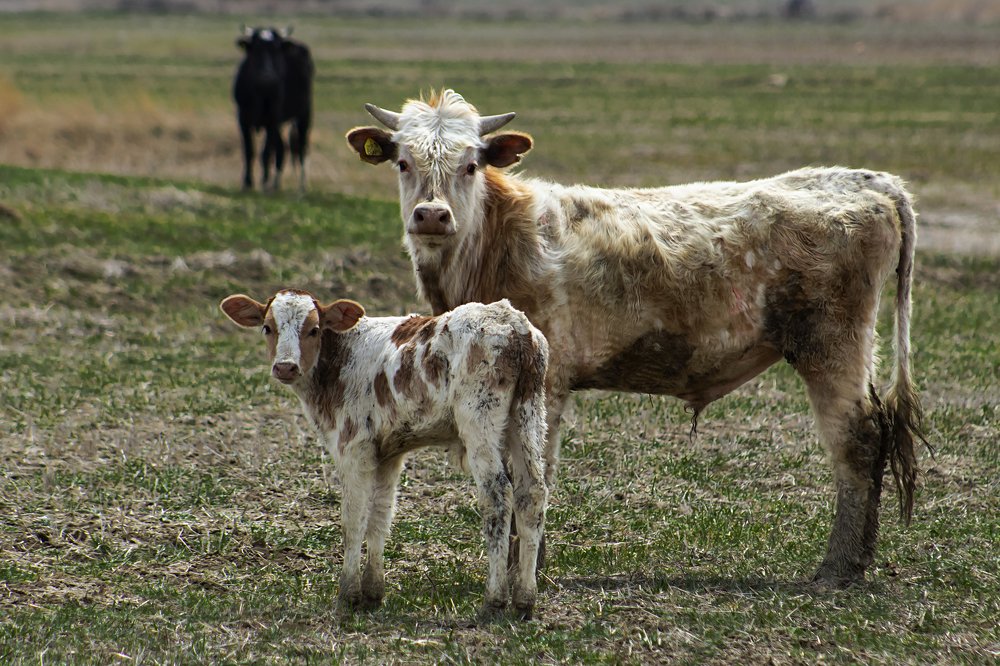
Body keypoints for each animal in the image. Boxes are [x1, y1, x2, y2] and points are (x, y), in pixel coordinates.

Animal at [220, 289, 549, 619]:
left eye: (313, 330)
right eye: (267, 327)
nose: (286, 367)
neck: (341, 358)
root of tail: (512, 323)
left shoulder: (353, 446)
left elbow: (353, 520)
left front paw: (348, 593)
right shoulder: (388, 453)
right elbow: (380, 514)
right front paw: (373, 591)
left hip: (479, 417)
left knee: (497, 495)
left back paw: (494, 599)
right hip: (527, 415)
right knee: (531, 493)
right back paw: (525, 598)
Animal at [233, 26, 313, 192]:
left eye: (276, 49)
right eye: (256, 48)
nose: (267, 76)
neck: (262, 93)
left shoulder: (272, 121)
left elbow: (265, 153)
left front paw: (264, 181)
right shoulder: (243, 119)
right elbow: (249, 151)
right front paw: (248, 183)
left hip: (304, 114)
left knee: (301, 148)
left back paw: (301, 185)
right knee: (282, 150)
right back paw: (276, 184)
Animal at [345, 89, 927, 588]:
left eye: (471, 164)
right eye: (403, 163)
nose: (432, 214)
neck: (498, 242)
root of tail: (865, 180)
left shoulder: (546, 383)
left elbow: (532, 471)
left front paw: (523, 568)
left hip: (832, 346)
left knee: (858, 441)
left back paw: (838, 567)